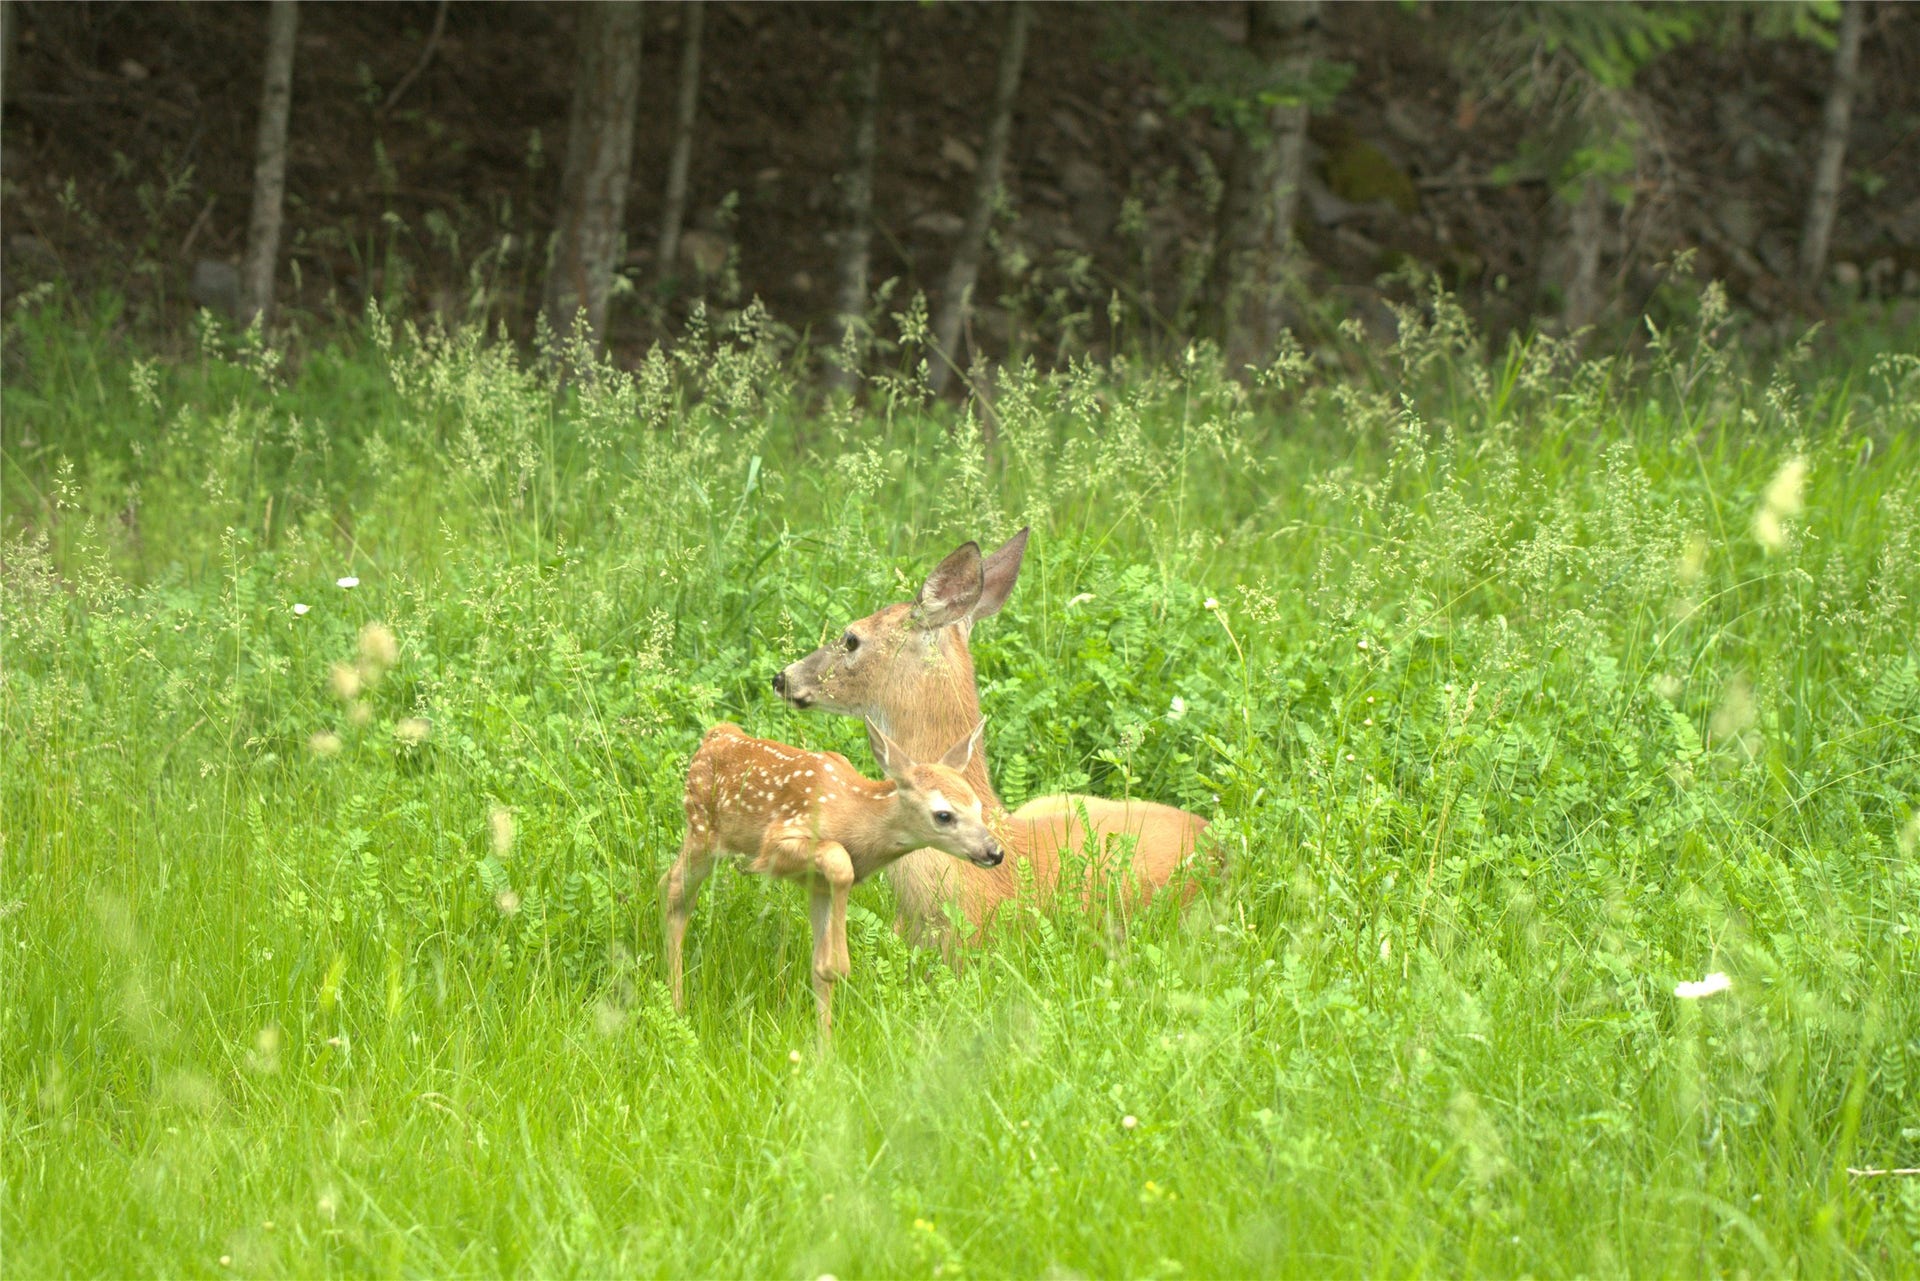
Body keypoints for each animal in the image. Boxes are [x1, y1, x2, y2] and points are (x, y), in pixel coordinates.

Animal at [661, 719, 1002, 1042]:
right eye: (943, 815)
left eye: (978, 806)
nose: (994, 852)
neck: (854, 818)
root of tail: (716, 736)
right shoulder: (775, 843)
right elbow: (840, 862)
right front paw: (838, 965)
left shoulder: (818, 884)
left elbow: (818, 967)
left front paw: (824, 1050)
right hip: (703, 831)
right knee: (675, 891)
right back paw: (677, 1006)